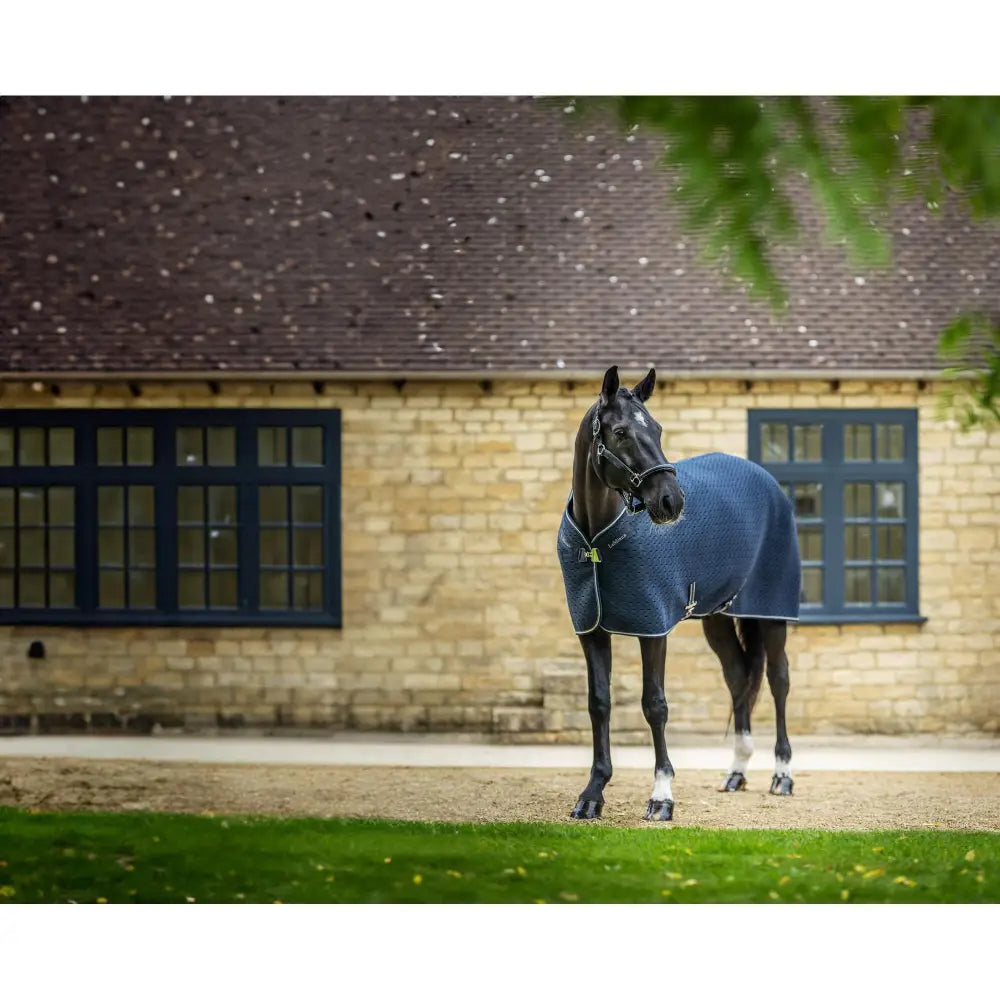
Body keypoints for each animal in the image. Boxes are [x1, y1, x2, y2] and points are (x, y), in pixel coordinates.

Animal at [557, 365, 800, 821]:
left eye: (657, 428)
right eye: (620, 432)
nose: (671, 501)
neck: (598, 539)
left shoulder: (653, 629)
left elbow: (655, 704)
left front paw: (662, 796)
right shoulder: (591, 630)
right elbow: (599, 703)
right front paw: (593, 793)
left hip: (771, 613)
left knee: (778, 680)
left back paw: (782, 775)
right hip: (717, 618)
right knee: (738, 678)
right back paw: (736, 772)